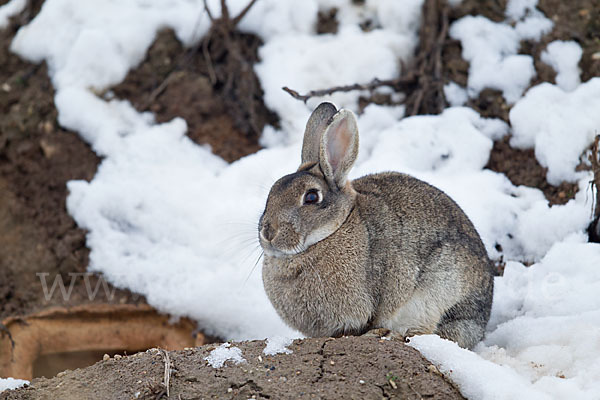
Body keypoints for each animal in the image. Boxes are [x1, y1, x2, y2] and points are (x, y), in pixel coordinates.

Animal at [260, 103, 494, 350]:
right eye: (272, 193)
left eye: (312, 197)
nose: (268, 233)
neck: (333, 231)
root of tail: (481, 322)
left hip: (441, 290)